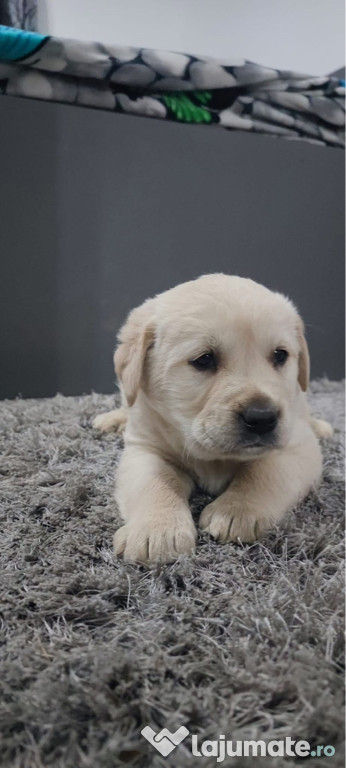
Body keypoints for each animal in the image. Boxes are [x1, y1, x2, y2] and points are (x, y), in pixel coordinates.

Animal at [93, 272, 332, 560]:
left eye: (280, 355)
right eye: (204, 359)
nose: (262, 417)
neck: (214, 457)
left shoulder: (298, 445)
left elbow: (265, 471)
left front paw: (236, 510)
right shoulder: (146, 449)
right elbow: (155, 482)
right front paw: (157, 530)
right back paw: (113, 419)